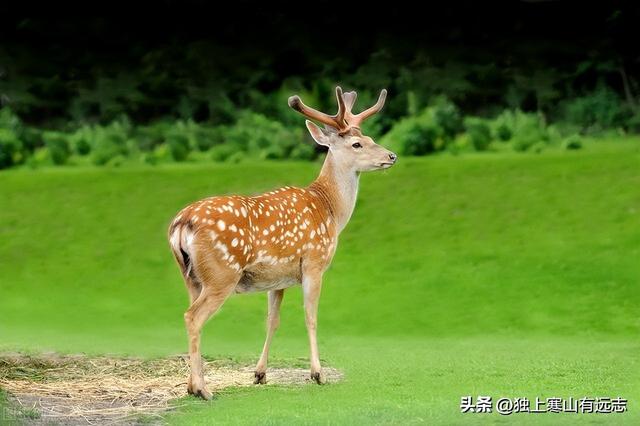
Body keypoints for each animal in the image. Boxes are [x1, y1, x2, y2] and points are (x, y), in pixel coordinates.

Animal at [166, 86, 396, 400]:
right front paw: (318, 374)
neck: (330, 209)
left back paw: (191, 386)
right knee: (193, 317)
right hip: (222, 273)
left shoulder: (279, 277)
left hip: (191, 276)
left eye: (371, 138)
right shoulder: (314, 262)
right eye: (357, 144)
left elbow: (272, 320)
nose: (392, 155)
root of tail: (181, 224)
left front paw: (260, 374)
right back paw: (203, 389)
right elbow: (311, 316)